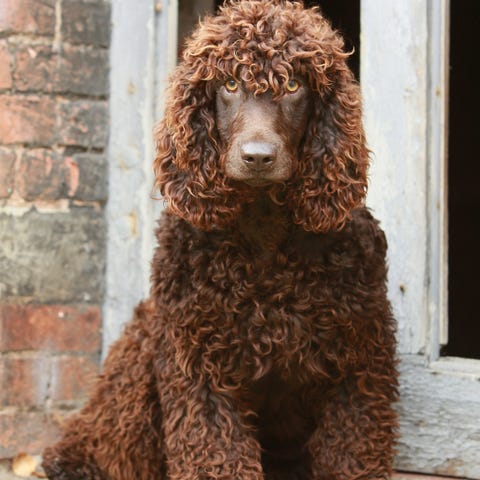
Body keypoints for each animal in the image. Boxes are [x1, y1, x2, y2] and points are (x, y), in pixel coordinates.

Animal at [43, 1, 398, 478]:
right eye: (230, 84)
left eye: (292, 84)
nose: (257, 157)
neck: (264, 227)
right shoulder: (197, 367)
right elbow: (216, 453)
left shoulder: (357, 363)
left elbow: (350, 454)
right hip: (143, 346)